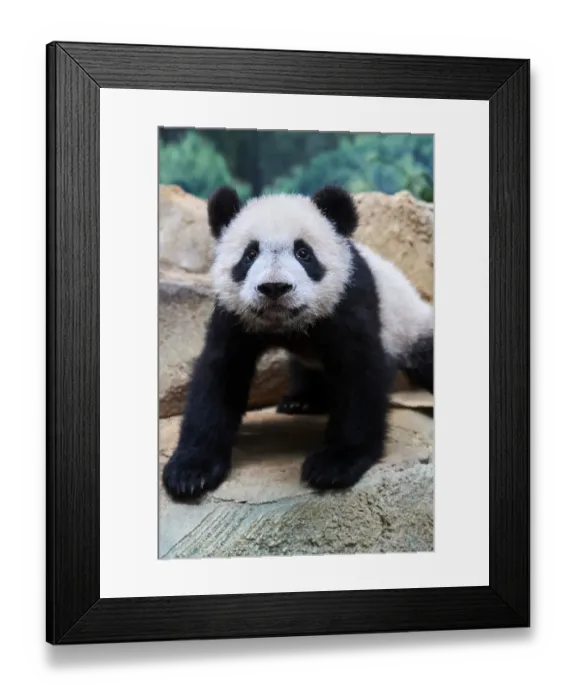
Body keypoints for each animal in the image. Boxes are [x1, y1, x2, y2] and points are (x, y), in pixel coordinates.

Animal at [162, 185, 433, 500]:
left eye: (304, 252)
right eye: (249, 254)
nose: (274, 288)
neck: (286, 325)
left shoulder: (350, 301)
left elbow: (359, 376)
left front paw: (333, 465)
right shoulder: (234, 315)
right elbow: (219, 375)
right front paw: (190, 472)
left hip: (412, 326)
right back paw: (301, 400)